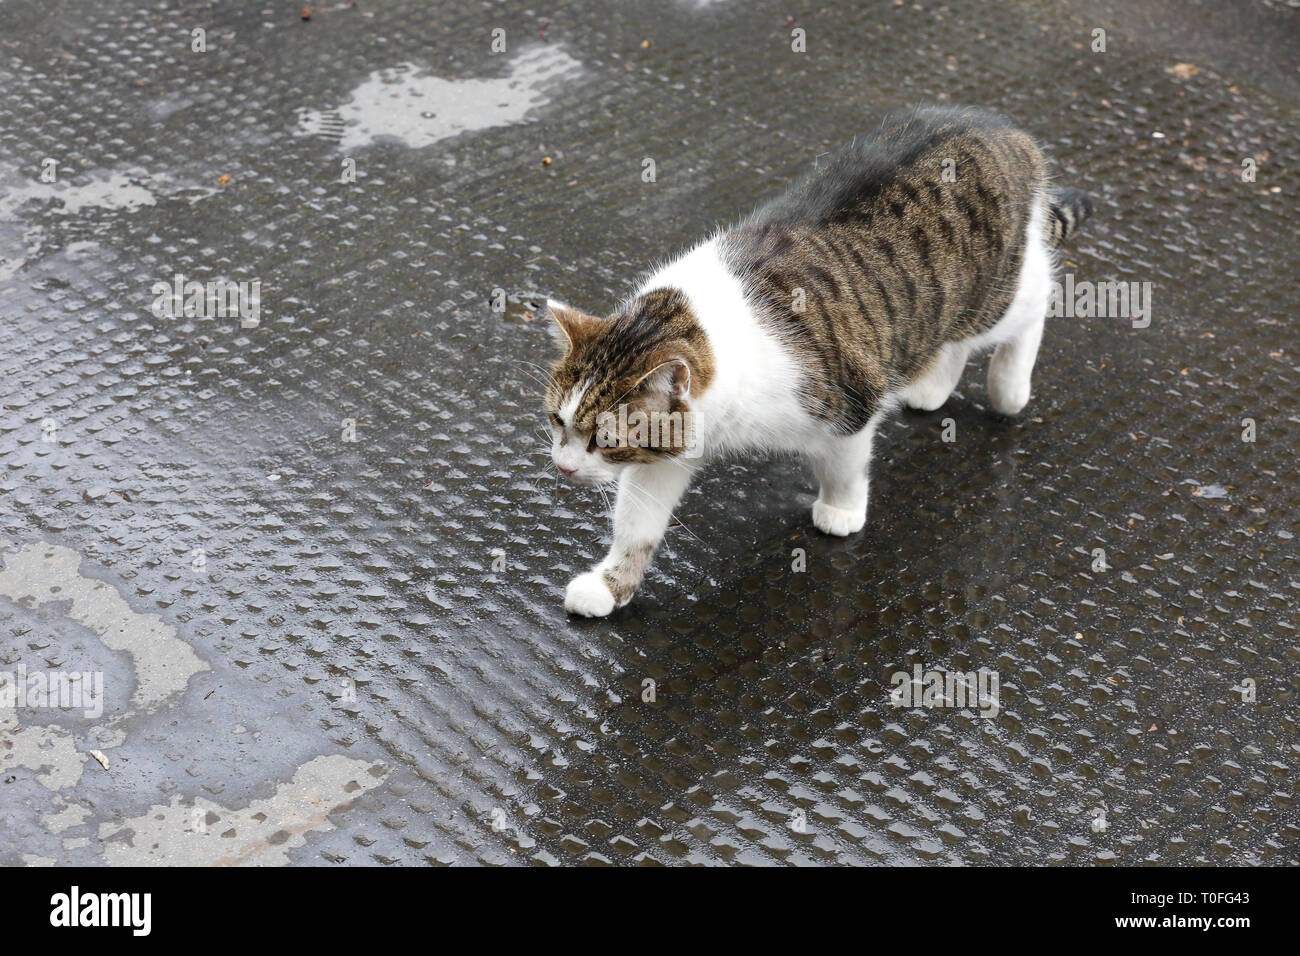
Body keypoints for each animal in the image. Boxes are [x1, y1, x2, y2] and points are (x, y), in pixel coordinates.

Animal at [543, 102, 1092, 613]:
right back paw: (933, 386)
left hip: (993, 295)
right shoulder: (669, 449)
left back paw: (1009, 386)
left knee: (1038, 294)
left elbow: (844, 466)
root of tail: (1006, 132)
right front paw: (610, 586)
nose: (563, 469)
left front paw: (841, 510)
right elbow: (636, 523)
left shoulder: (851, 404)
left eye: (605, 439)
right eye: (557, 421)